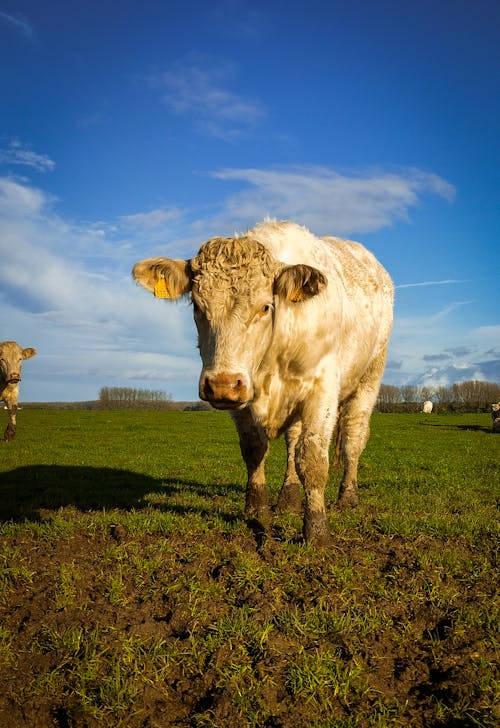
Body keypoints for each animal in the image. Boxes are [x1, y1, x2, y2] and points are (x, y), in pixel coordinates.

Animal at [133, 222, 394, 544]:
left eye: (265, 307)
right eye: (196, 306)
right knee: (293, 443)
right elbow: (255, 449)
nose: (221, 384)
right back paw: (289, 499)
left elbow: (313, 460)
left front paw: (317, 532)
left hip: (369, 377)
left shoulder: (322, 387)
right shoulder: (243, 395)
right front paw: (257, 509)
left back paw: (348, 497)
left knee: (352, 440)